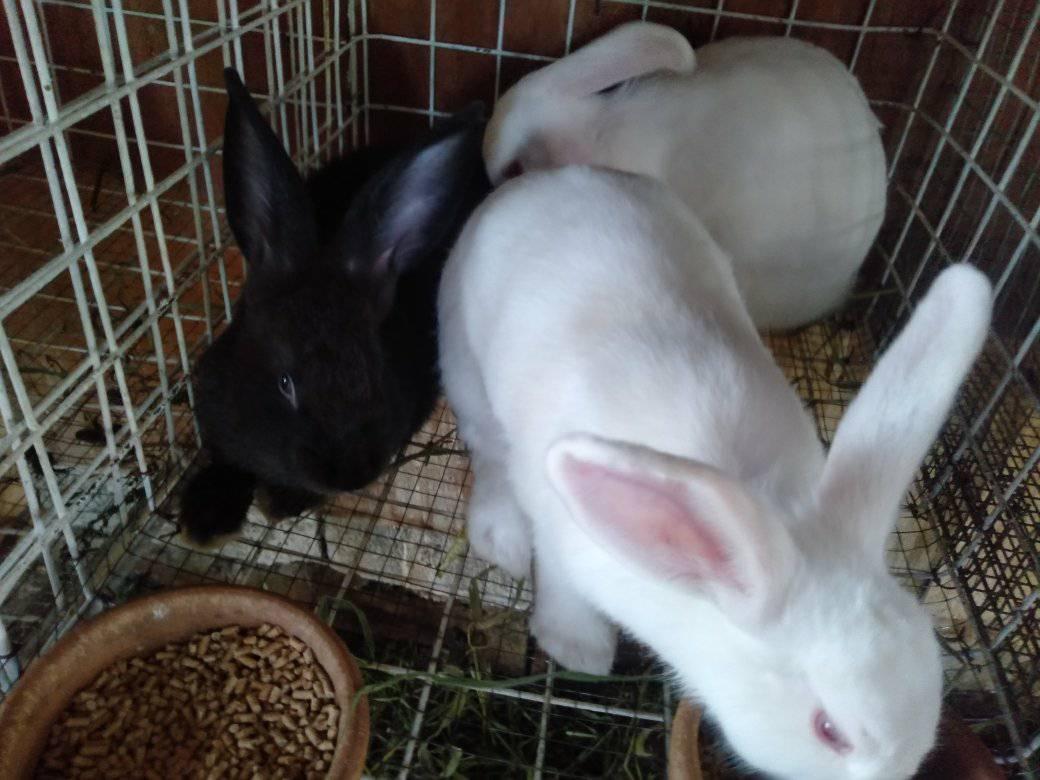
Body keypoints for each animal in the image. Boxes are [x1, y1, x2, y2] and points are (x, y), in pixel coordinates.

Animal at [178, 68, 489, 548]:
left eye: (375, 375)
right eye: (285, 383)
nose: (348, 476)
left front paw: (283, 500)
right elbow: (226, 460)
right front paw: (204, 516)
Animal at [438, 164, 992, 779]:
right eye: (828, 730)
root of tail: (545, 178)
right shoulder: (563, 534)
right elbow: (563, 586)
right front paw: (578, 648)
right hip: (464, 364)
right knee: (487, 447)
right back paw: (501, 538)